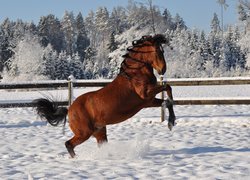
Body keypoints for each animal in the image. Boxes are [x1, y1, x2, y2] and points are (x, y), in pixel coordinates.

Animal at [33, 34, 176, 158]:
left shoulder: (148, 101)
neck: (135, 74)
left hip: (99, 132)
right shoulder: (145, 94)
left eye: (162, 50)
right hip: (84, 133)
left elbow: (167, 101)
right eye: (157, 51)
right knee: (68, 144)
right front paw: (171, 121)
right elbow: (167, 87)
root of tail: (70, 110)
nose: (162, 69)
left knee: (97, 145)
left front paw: (171, 122)